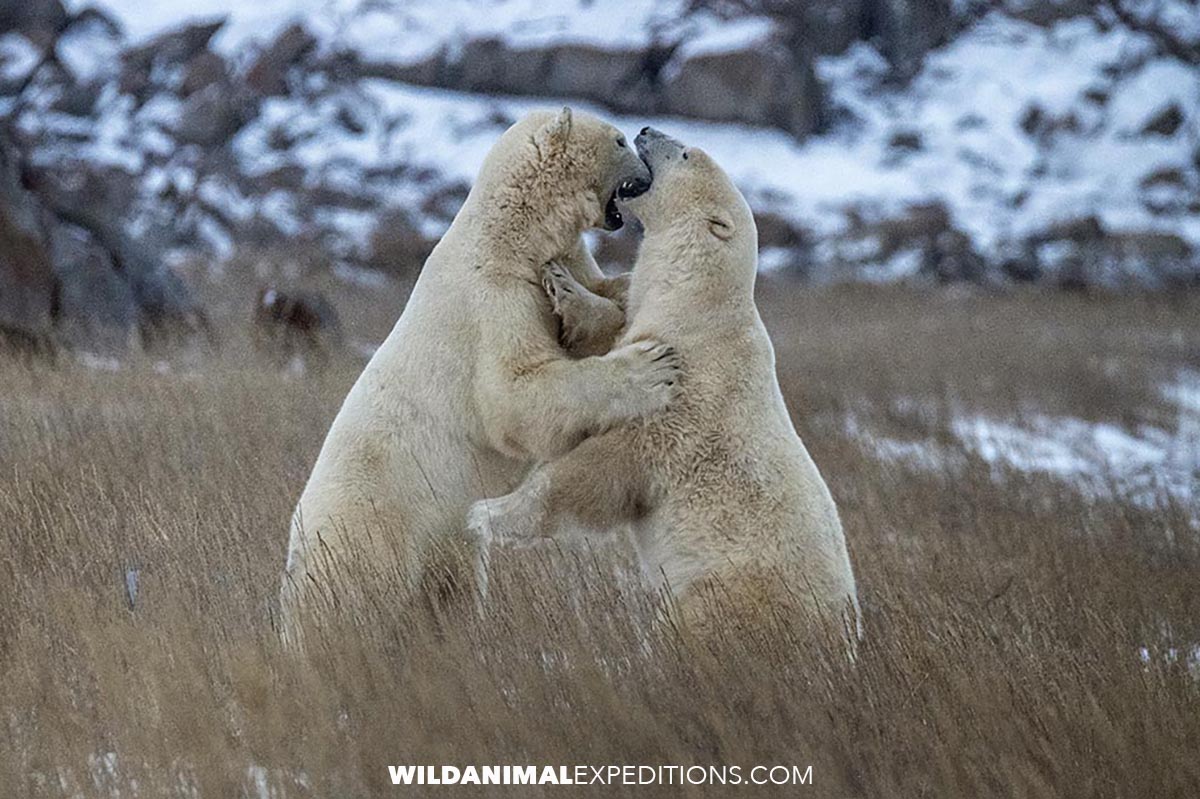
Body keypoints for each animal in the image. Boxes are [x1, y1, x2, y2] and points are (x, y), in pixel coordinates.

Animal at [280, 109, 681, 645]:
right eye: (617, 140)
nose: (641, 156)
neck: (509, 236)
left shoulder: (559, 261)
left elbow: (607, 297)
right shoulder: (492, 296)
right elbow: (515, 395)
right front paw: (651, 367)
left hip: (443, 545)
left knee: (452, 589)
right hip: (370, 528)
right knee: (349, 607)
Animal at [468, 127, 861, 645]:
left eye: (687, 153)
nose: (646, 130)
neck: (697, 313)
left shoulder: (682, 402)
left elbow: (593, 474)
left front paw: (488, 513)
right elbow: (612, 329)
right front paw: (562, 280)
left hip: (729, 592)